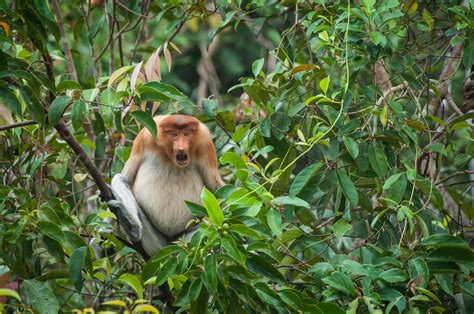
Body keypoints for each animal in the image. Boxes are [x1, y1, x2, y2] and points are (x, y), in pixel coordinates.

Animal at [109, 114, 224, 256]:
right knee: (119, 178)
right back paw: (131, 227)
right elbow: (126, 178)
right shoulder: (145, 136)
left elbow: (215, 186)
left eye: (186, 134)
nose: (181, 148)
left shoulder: (204, 140)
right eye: (174, 134)